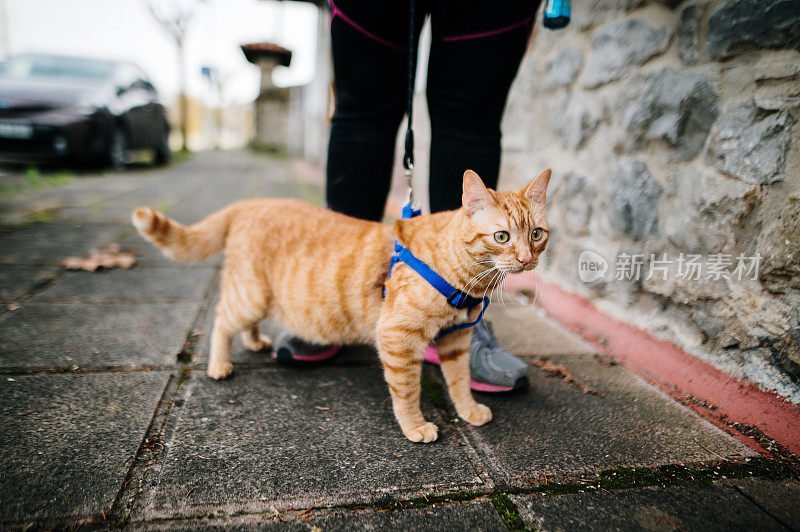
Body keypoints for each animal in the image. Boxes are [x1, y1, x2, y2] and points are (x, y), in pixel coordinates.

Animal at [136, 168, 552, 442]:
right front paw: (415, 426)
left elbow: (460, 380)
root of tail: (252, 202)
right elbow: (407, 391)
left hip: (257, 299)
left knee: (242, 323)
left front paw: (467, 409)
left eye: (536, 234)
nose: (526, 259)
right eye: (501, 236)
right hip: (249, 296)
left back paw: (255, 342)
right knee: (222, 318)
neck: (467, 280)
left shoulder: (456, 340)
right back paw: (219, 364)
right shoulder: (398, 338)